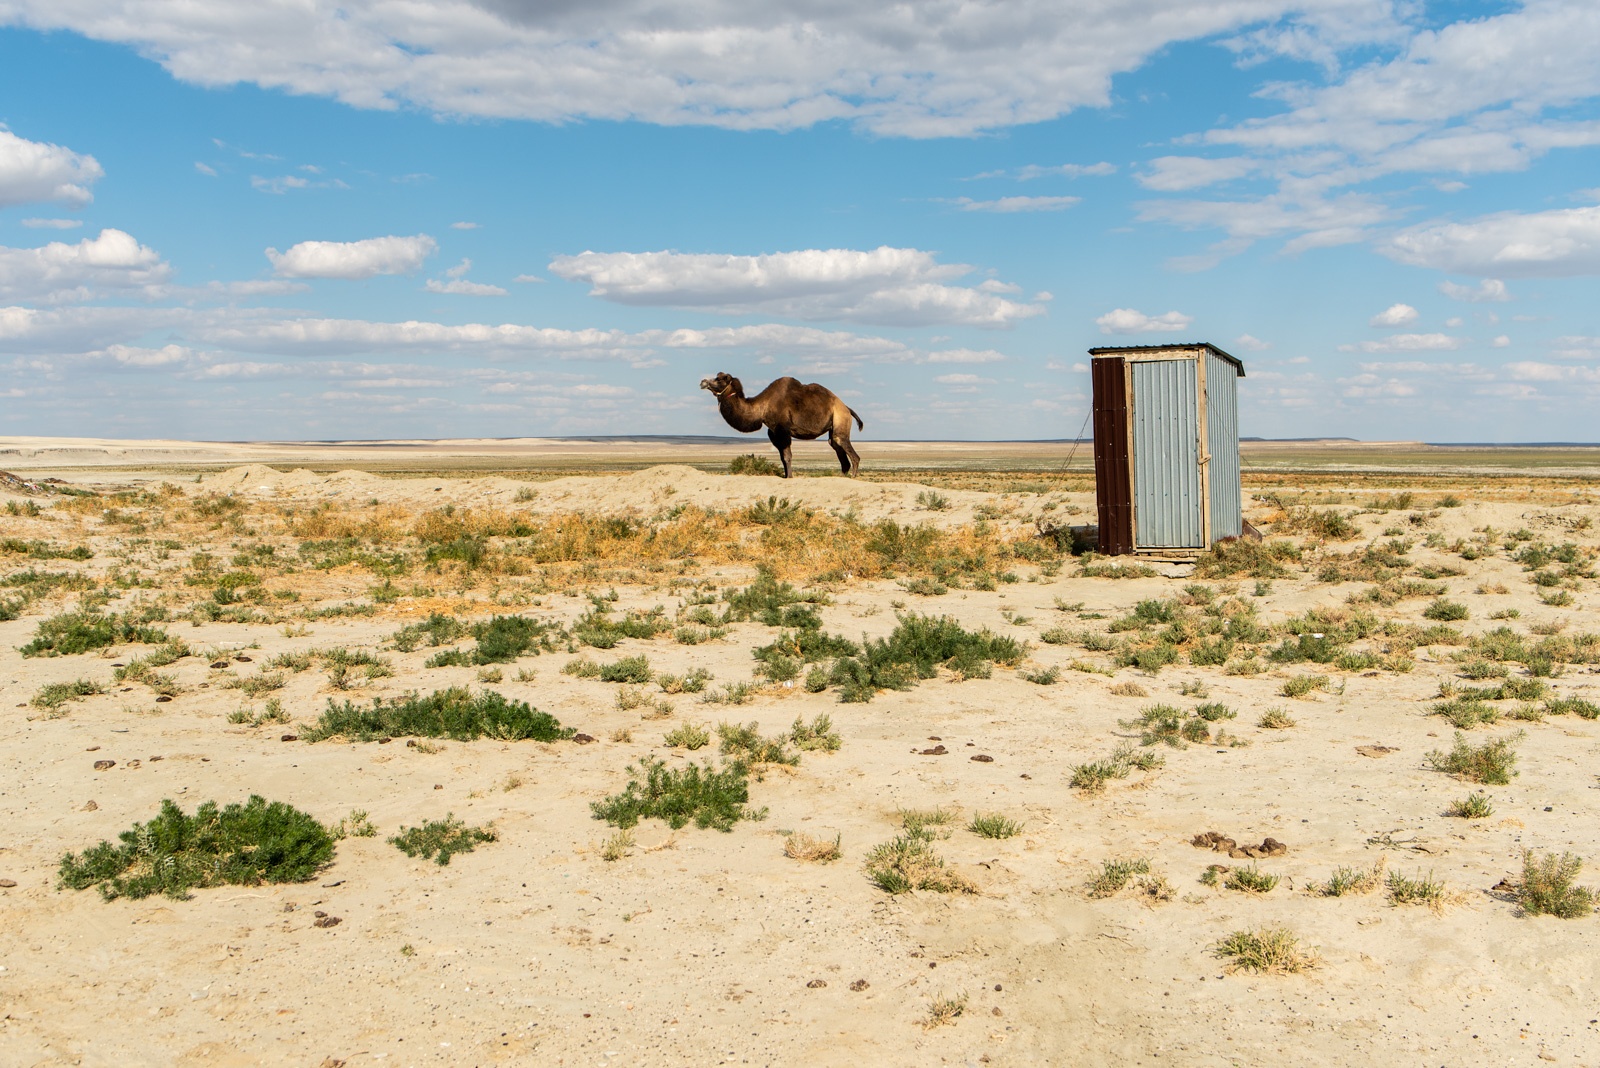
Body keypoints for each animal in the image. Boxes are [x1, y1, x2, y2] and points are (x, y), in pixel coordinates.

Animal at [700, 374, 864, 476]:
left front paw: (789, 477)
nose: (703, 382)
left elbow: (787, 456)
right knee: (837, 449)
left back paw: (853, 476)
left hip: (840, 420)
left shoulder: (783, 430)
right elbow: (782, 457)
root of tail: (847, 408)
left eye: (721, 379)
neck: (762, 407)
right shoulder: (773, 433)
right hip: (833, 427)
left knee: (849, 450)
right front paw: (786, 475)